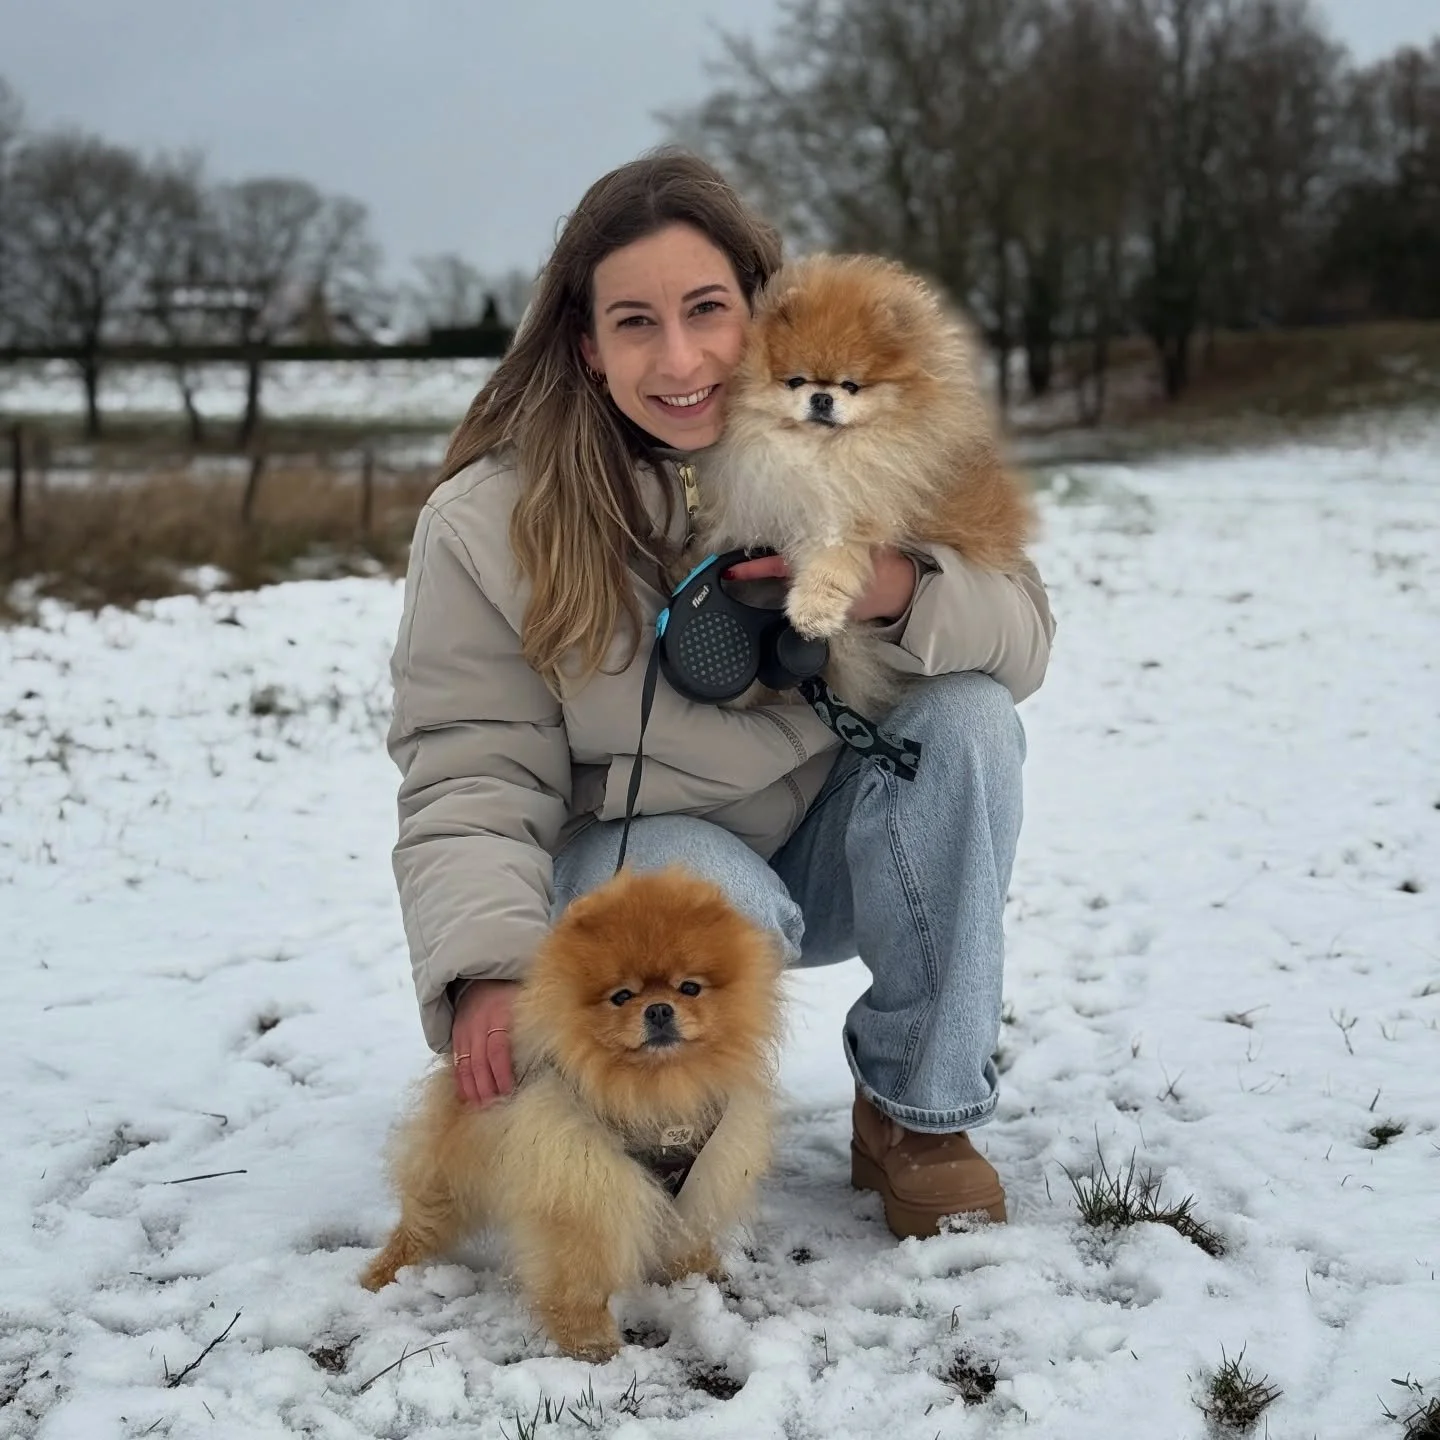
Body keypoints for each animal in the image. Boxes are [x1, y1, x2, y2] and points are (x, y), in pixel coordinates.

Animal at [361, 865, 783, 1362]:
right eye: (621, 996)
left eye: (690, 988)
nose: (659, 1009)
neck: (655, 1097)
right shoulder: (581, 1191)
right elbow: (579, 1279)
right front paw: (591, 1344)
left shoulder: (703, 1172)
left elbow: (688, 1235)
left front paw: (697, 1279)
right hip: (451, 1172)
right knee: (423, 1220)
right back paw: (386, 1273)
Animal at [697, 251, 1036, 717]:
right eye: (796, 381)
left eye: (850, 385)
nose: (822, 398)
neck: (824, 453)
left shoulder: (856, 513)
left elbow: (834, 562)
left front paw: (812, 611)